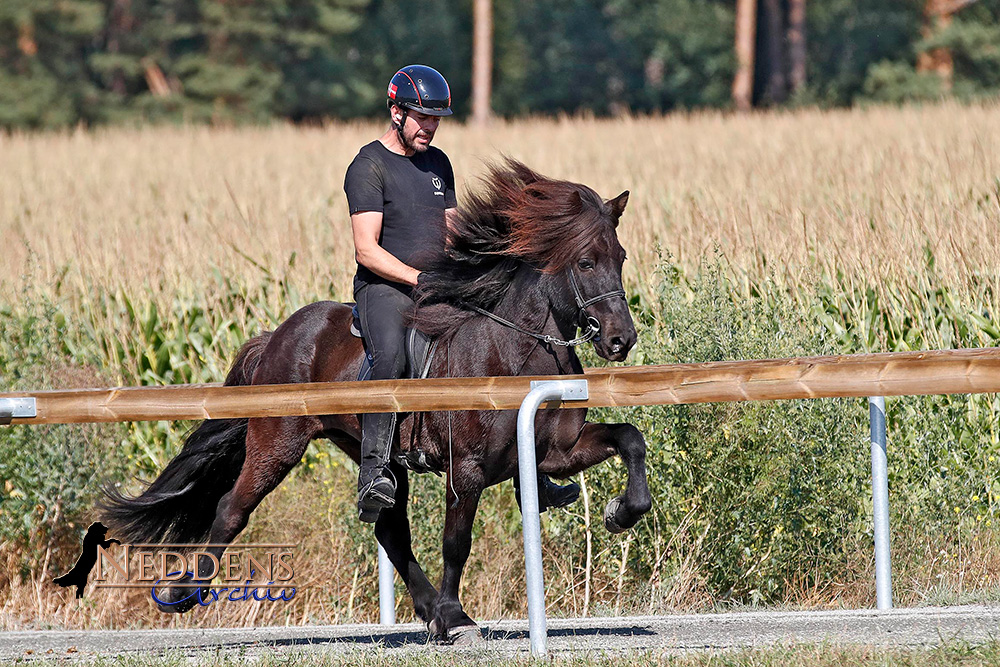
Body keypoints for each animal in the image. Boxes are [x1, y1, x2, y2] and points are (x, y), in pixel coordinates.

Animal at [97, 159, 652, 644]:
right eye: (586, 261)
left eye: (621, 257)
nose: (621, 340)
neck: (514, 347)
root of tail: (278, 335)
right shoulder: (466, 468)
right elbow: (457, 542)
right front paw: (457, 617)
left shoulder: (554, 451)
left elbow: (630, 439)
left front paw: (621, 512)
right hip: (277, 445)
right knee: (232, 509)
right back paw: (183, 591)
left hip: (372, 453)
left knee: (389, 525)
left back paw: (429, 610)